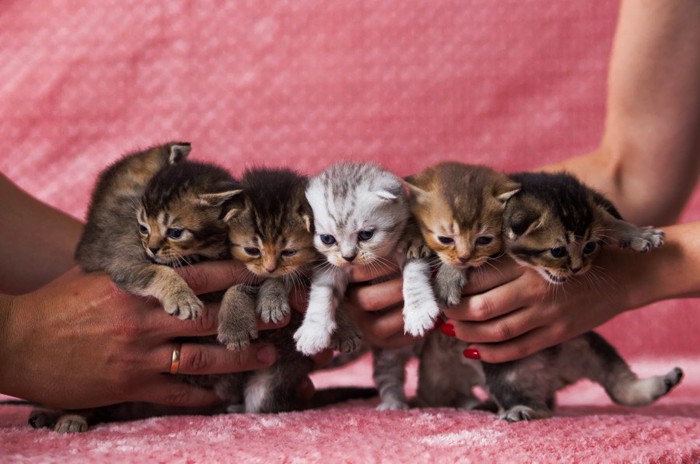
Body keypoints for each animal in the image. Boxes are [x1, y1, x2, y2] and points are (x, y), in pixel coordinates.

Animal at [484, 170, 680, 420]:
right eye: (557, 251)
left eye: (590, 247)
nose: (577, 268)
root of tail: (553, 378)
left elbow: (609, 219)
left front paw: (636, 233)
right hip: (504, 374)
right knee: (529, 402)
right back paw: (522, 409)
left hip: (590, 345)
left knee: (620, 387)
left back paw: (660, 383)